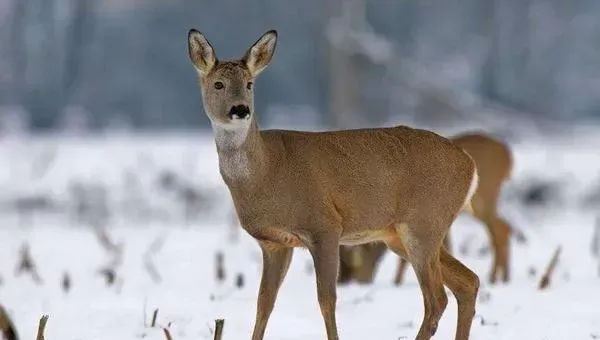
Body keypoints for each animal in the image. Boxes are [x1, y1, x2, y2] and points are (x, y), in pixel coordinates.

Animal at [189, 28, 482, 340]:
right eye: (218, 84)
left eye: (249, 83)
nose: (241, 109)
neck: (266, 172)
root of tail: (470, 165)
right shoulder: (274, 242)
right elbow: (264, 302)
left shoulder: (324, 225)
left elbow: (326, 299)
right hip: (401, 234)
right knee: (468, 282)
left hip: (423, 223)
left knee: (437, 298)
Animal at [340, 131, 512, 286]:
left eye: (350, 264)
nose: (348, 281)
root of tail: (507, 156)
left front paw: (397, 282)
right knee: (503, 227)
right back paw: (502, 277)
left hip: (484, 196)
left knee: (500, 228)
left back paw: (495, 278)